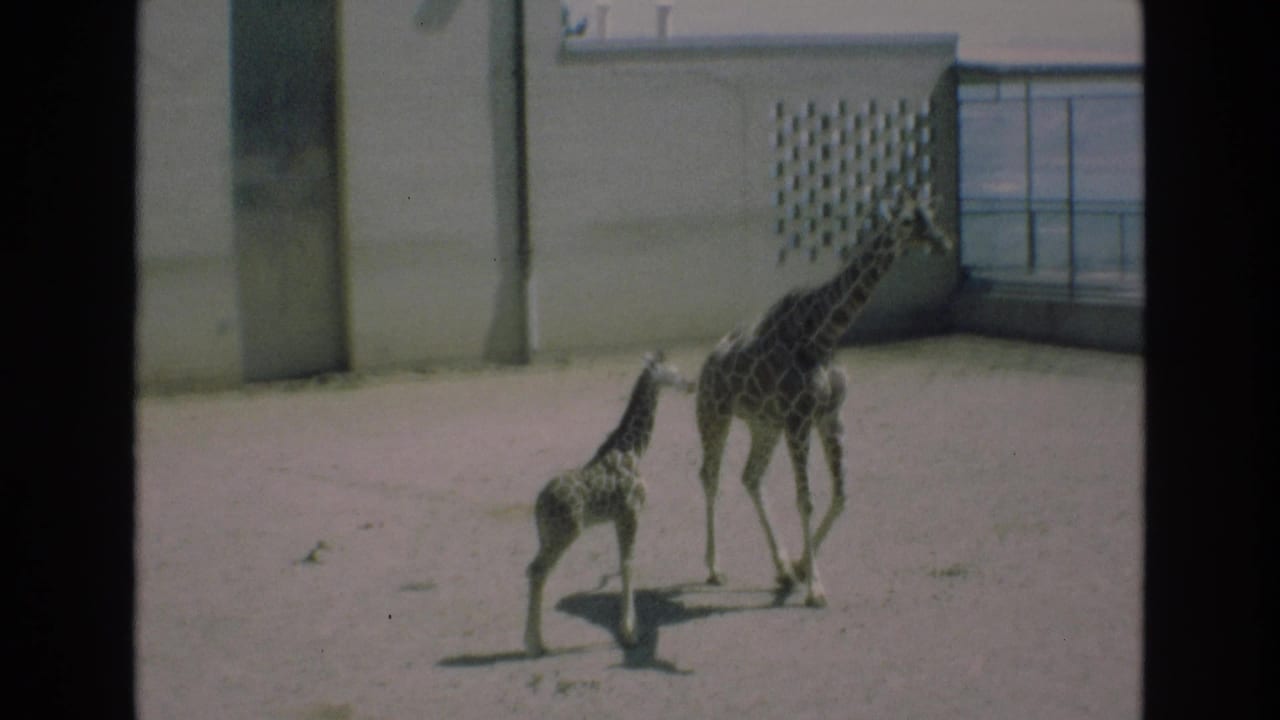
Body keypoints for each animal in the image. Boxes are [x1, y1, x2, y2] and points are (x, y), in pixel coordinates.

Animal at [524, 351, 694, 657]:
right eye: (671, 370)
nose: (691, 384)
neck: (633, 449)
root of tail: (539, 503)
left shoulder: (618, 517)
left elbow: (622, 563)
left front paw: (628, 630)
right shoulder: (631, 512)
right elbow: (628, 564)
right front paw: (630, 634)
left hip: (546, 535)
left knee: (535, 571)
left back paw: (536, 641)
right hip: (564, 534)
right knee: (538, 571)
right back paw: (536, 644)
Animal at [695, 188, 953, 607]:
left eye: (930, 213)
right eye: (907, 221)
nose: (944, 242)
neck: (824, 335)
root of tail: (708, 361)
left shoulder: (829, 416)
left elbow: (842, 495)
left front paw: (801, 567)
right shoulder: (799, 419)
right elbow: (807, 499)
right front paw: (815, 586)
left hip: (764, 425)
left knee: (751, 476)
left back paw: (782, 567)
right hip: (713, 414)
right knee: (710, 477)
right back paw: (715, 568)